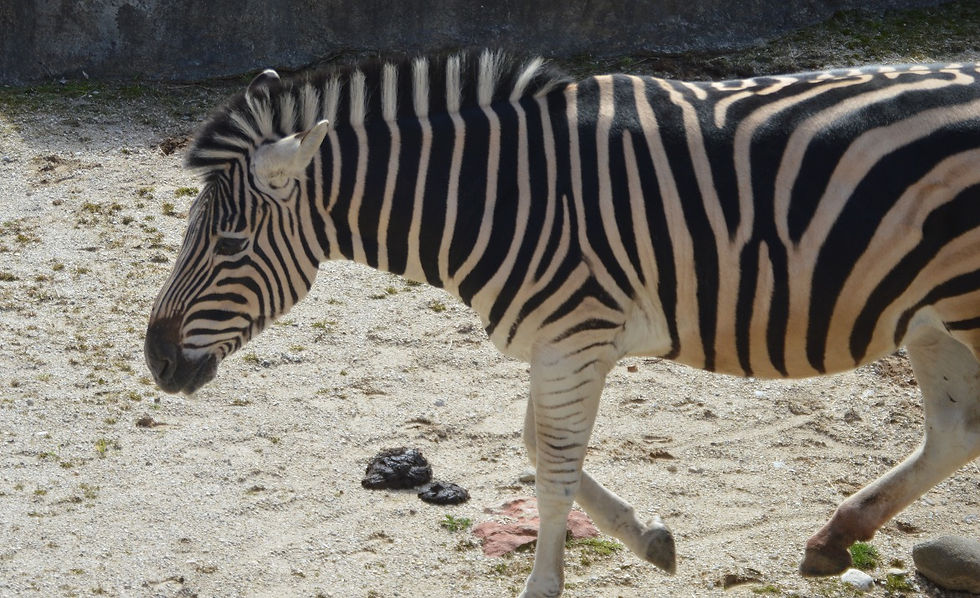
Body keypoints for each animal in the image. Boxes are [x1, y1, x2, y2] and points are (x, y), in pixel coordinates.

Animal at [145, 49, 980, 597]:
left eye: (230, 244)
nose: (156, 361)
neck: (500, 195)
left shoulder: (574, 338)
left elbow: (553, 472)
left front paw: (543, 585)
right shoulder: (558, 343)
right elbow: (538, 449)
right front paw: (652, 539)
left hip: (961, 305)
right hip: (932, 316)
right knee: (953, 431)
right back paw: (836, 537)